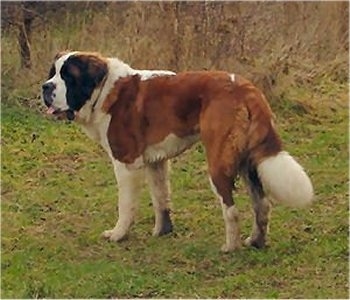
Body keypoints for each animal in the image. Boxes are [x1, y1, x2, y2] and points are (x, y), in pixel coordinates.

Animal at [42, 50, 314, 252]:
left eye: (68, 76)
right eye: (53, 73)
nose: (45, 87)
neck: (106, 91)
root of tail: (247, 89)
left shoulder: (126, 164)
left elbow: (126, 205)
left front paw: (118, 234)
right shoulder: (156, 162)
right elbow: (161, 198)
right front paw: (163, 231)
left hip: (218, 162)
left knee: (231, 209)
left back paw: (230, 247)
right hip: (248, 161)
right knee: (262, 204)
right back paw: (256, 242)